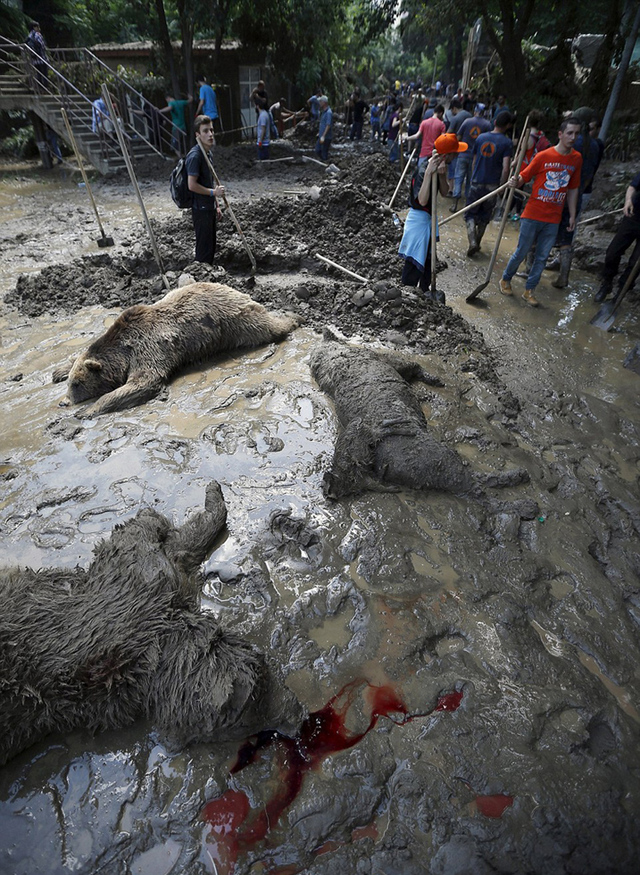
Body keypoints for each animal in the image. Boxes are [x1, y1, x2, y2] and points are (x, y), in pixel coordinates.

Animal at [0, 482, 300, 768]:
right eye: (258, 693)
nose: (295, 717)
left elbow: (179, 542)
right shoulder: (135, 576)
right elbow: (151, 533)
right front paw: (165, 511)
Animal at [52, 282, 300, 416]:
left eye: (78, 384)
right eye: (70, 382)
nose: (64, 402)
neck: (123, 349)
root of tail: (238, 290)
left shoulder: (148, 347)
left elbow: (144, 381)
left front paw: (88, 410)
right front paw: (58, 371)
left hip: (236, 321)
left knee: (265, 326)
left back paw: (293, 318)